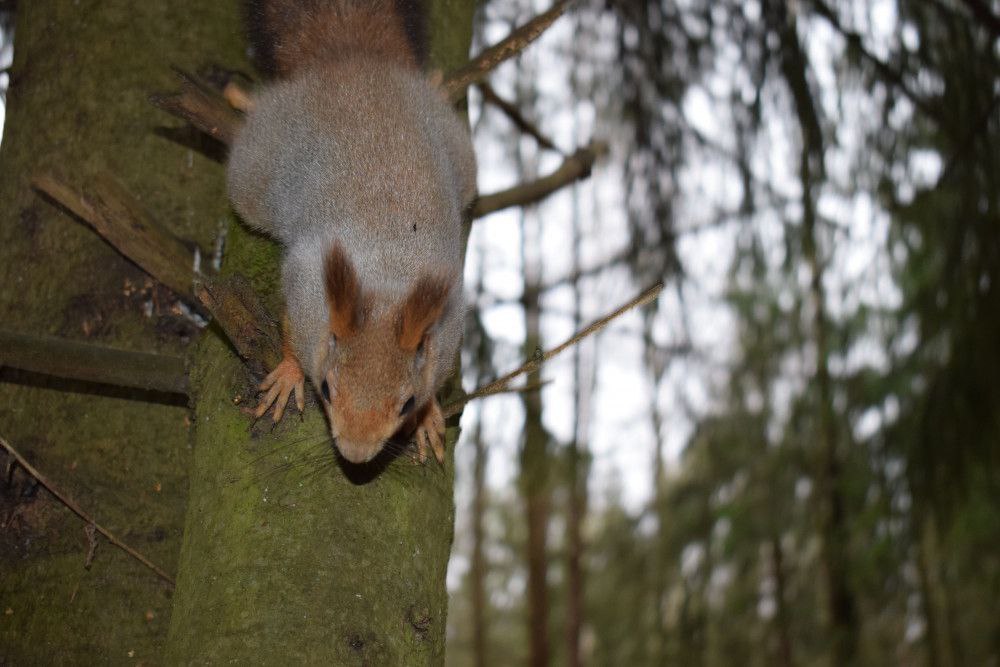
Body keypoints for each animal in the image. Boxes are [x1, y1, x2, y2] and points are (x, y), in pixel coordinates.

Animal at [227, 0, 476, 468]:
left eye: (406, 403)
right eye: (325, 388)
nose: (357, 456)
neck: (387, 284)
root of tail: (352, 59)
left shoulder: (448, 328)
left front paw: (430, 416)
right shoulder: (306, 289)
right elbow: (292, 330)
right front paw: (288, 375)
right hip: (257, 167)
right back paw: (243, 100)